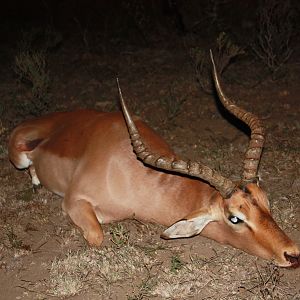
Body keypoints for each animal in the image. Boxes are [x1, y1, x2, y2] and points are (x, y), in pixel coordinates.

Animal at [8, 51, 298, 268]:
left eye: (265, 201)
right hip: (20, 158)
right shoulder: (74, 201)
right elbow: (97, 236)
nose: (292, 254)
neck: (130, 172)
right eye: (234, 218)